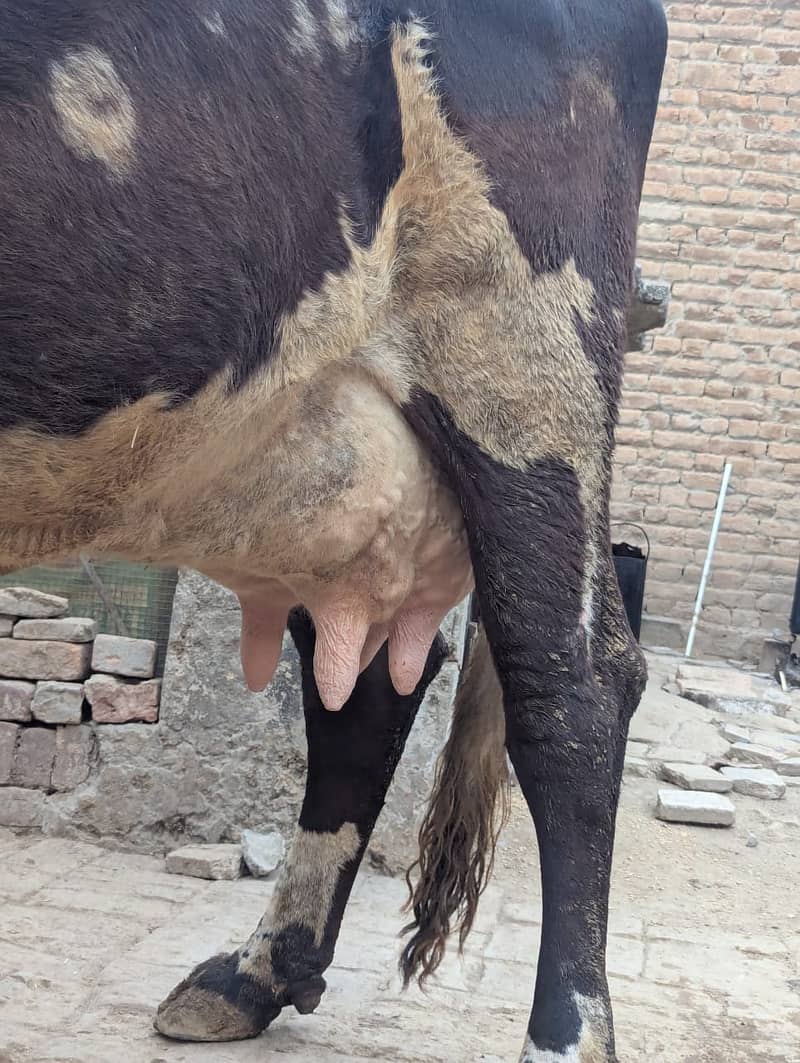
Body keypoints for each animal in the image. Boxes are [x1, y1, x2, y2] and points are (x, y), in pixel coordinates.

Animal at [0, 0, 668, 1058]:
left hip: (531, 355)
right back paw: (254, 973)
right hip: (325, 479)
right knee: (364, 689)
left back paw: (562, 1035)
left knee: (574, 686)